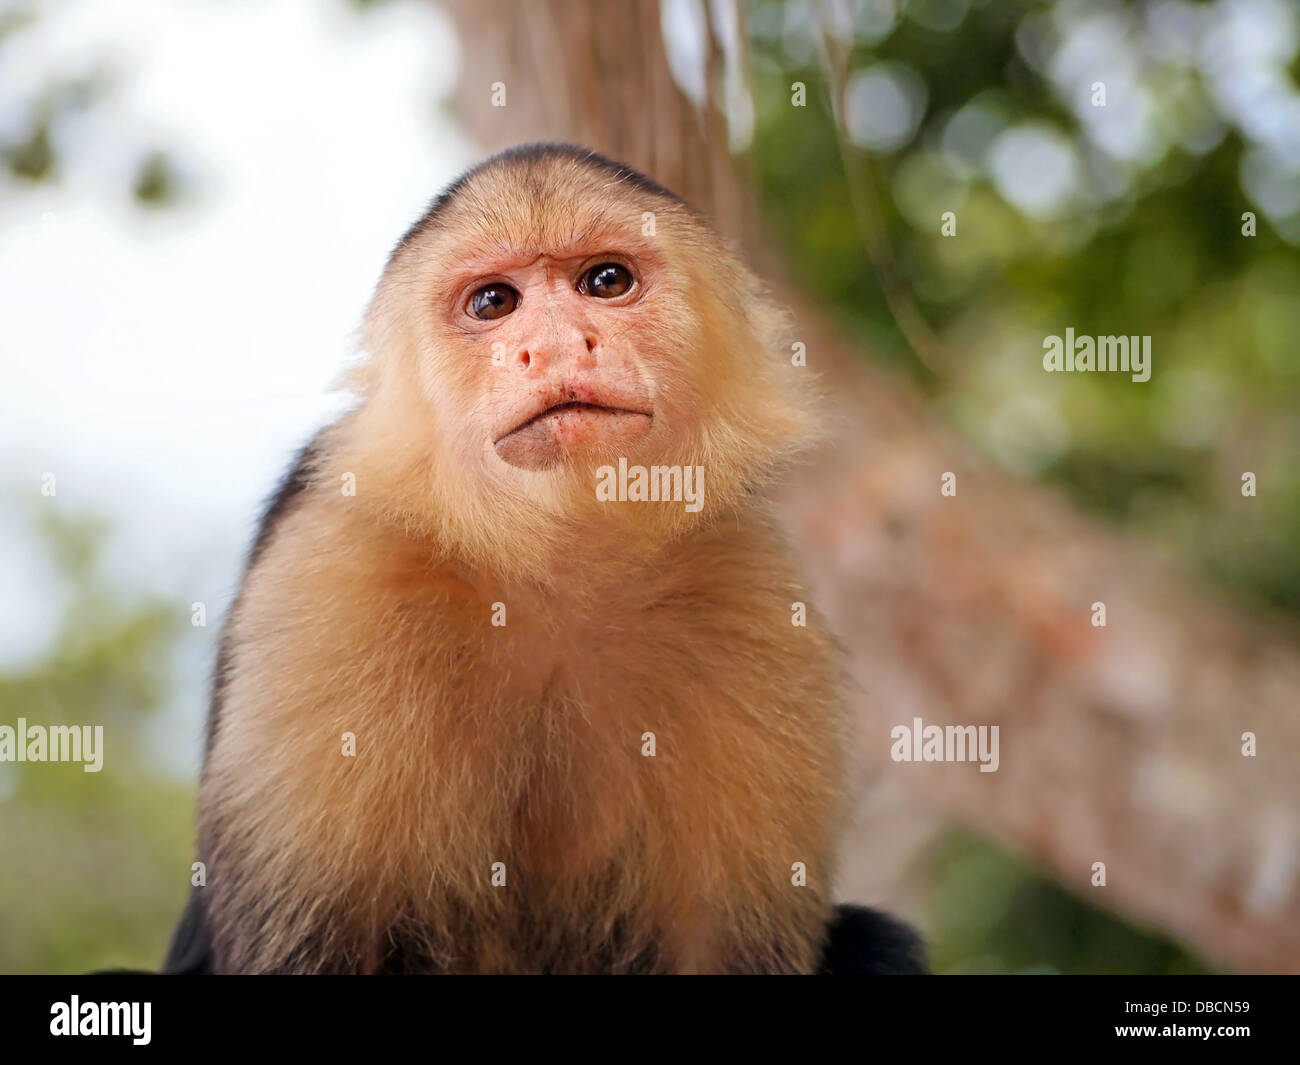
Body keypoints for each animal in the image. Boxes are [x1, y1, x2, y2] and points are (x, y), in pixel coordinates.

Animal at [165, 145, 925, 977]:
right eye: (494, 302)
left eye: (606, 281)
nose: (558, 346)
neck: (552, 574)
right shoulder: (326, 568)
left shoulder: (748, 590)